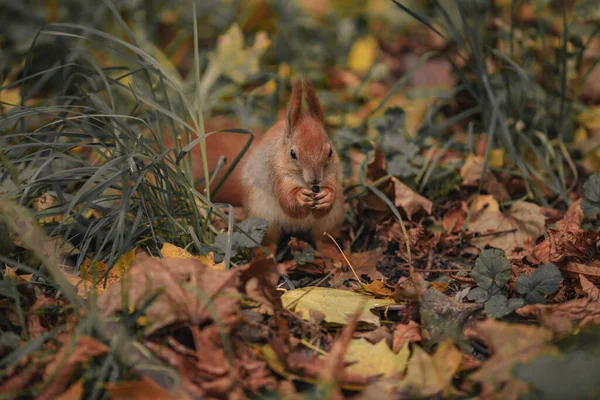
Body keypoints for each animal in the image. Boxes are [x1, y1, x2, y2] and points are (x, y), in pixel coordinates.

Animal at [239, 76, 342, 248]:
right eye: (292, 154)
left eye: (330, 151)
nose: (315, 180)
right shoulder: (278, 175)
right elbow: (287, 201)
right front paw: (300, 197)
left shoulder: (331, 173)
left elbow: (329, 196)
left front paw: (327, 196)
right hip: (262, 216)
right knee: (270, 241)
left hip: (329, 221)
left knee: (322, 239)